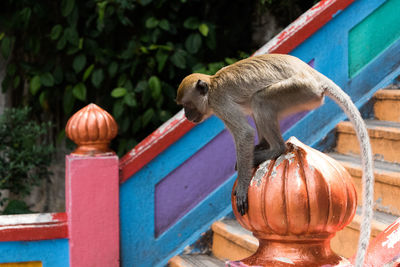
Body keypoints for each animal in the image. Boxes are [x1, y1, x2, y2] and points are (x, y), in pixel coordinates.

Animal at [177, 54, 374, 267]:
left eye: (188, 105)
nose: (187, 116)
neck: (212, 85)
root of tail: (314, 75)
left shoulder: (220, 103)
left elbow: (245, 134)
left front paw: (243, 185)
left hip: (300, 90)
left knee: (260, 101)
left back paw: (275, 149)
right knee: (256, 104)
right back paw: (263, 146)